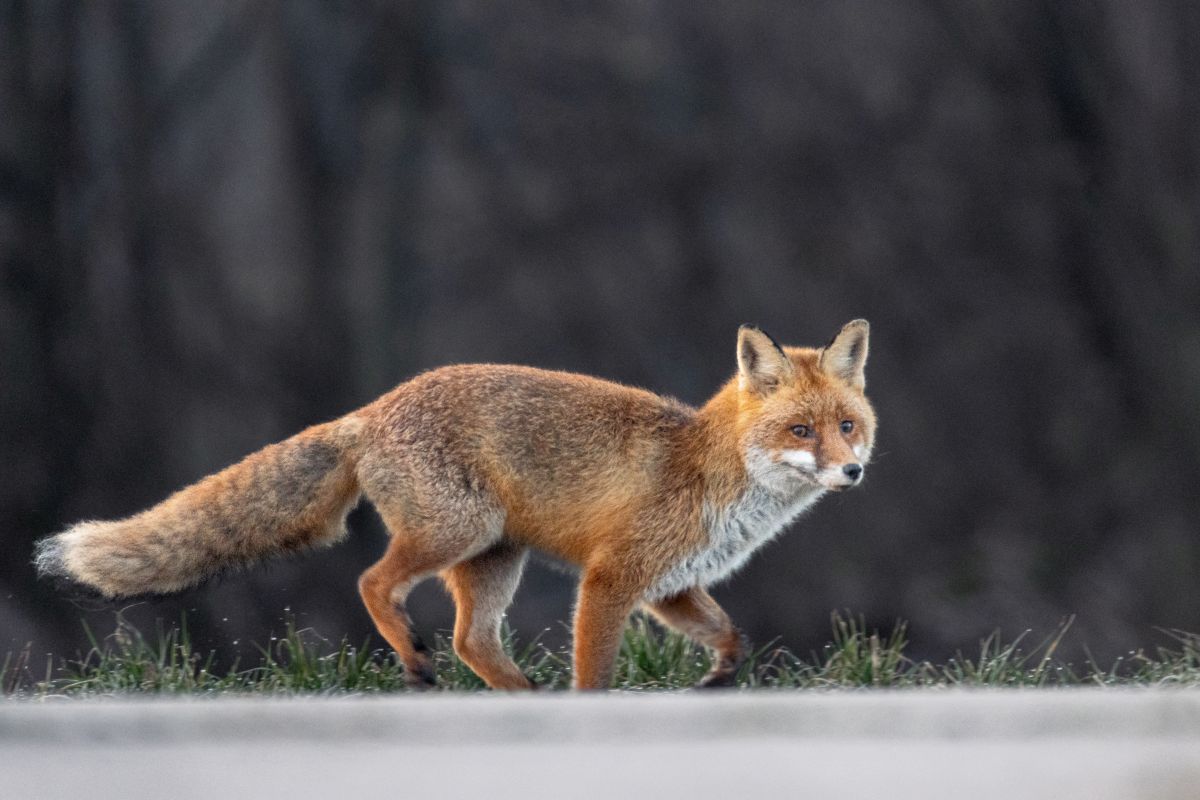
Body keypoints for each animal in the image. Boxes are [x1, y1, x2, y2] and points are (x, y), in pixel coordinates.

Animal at [36, 320, 875, 690]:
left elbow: (732, 635)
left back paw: (517, 695)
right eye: (801, 431)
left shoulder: (669, 586)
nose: (855, 471)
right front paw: (594, 707)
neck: (715, 474)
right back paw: (413, 657)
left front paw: (721, 679)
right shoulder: (611, 578)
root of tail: (372, 409)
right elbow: (596, 669)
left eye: (847, 426)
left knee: (474, 640)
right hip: (457, 532)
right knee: (373, 582)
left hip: (494, 557)